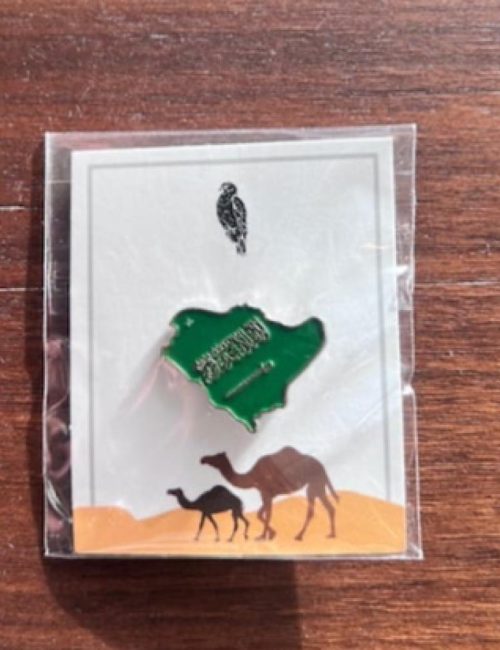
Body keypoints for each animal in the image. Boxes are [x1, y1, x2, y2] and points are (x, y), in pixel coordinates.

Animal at [201, 446, 339, 541]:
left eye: (216, 457)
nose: (203, 459)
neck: (252, 477)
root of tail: (322, 466)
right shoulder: (268, 494)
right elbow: (261, 514)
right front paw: (270, 534)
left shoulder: (265, 492)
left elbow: (267, 514)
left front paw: (263, 536)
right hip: (318, 485)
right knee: (329, 508)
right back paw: (331, 534)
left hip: (314, 484)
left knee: (312, 511)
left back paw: (299, 536)